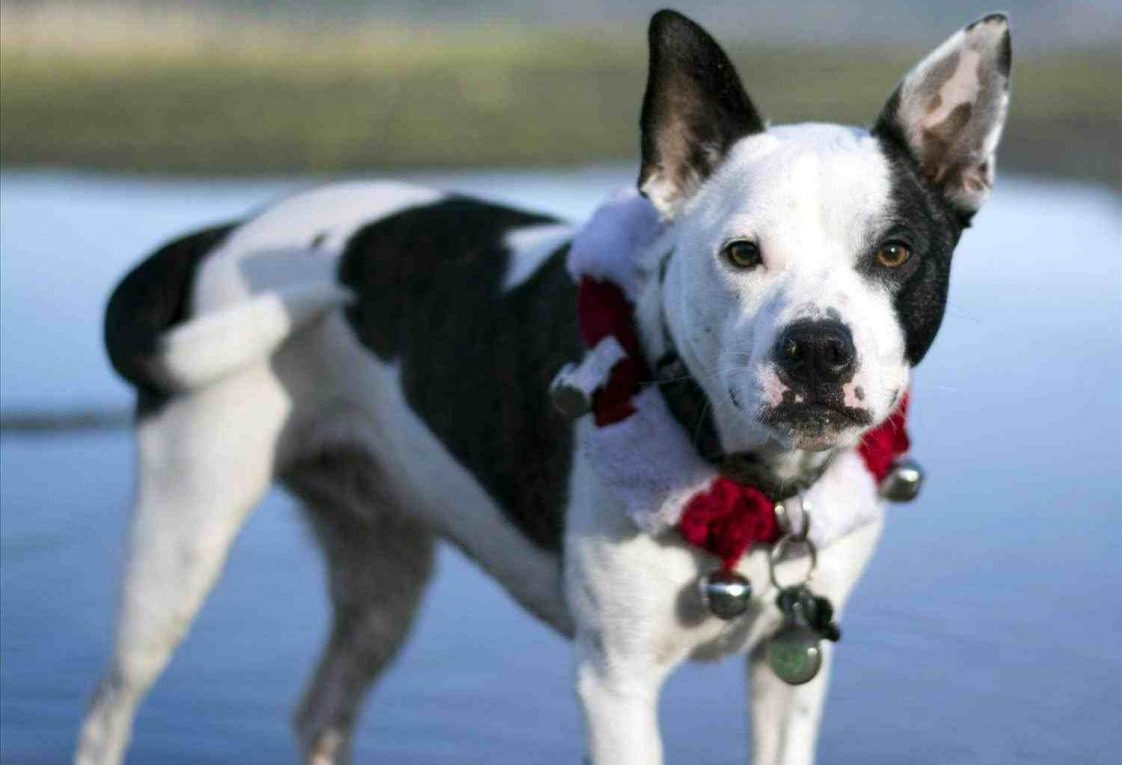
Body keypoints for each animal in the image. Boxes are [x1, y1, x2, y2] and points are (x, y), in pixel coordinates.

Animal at [74, 8, 1014, 758]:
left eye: (895, 252)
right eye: (742, 254)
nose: (817, 348)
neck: (753, 479)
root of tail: (224, 231)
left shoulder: (790, 677)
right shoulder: (615, 685)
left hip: (381, 572)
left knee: (320, 710)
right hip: (179, 541)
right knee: (108, 709)